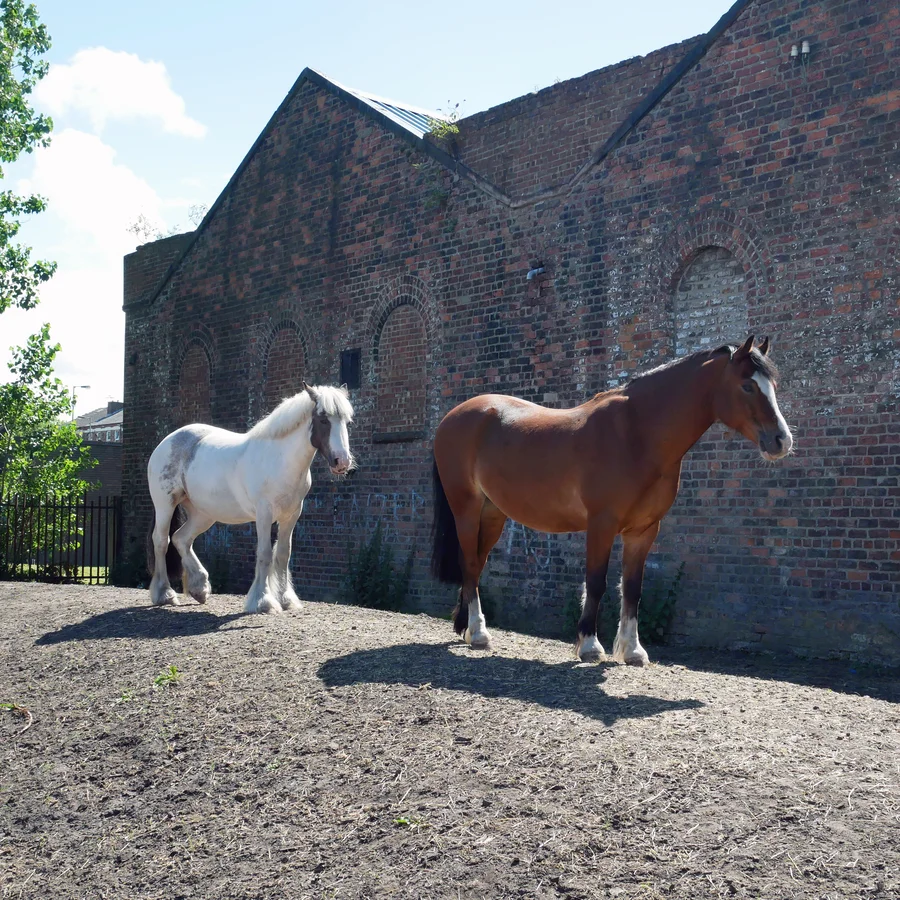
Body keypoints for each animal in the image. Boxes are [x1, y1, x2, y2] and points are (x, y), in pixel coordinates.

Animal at [146, 382, 354, 614]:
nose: (342, 462)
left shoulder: (291, 515)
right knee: (161, 541)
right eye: (323, 419)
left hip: (203, 514)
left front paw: (286, 600)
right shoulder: (264, 514)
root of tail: (167, 441)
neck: (279, 460)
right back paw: (165, 594)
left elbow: (283, 554)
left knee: (181, 539)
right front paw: (263, 601)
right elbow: (264, 554)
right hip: (165, 504)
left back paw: (200, 588)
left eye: (347, 421)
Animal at [431, 336, 793, 665]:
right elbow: (596, 582)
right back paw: (479, 633)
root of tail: (454, 416)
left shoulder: (644, 531)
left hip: (493, 513)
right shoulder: (601, 524)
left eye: (772, 385)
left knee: (476, 564)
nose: (782, 440)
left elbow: (632, 588)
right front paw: (590, 646)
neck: (636, 434)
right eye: (747, 386)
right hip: (466, 508)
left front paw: (633, 651)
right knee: (471, 563)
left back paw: (465, 628)